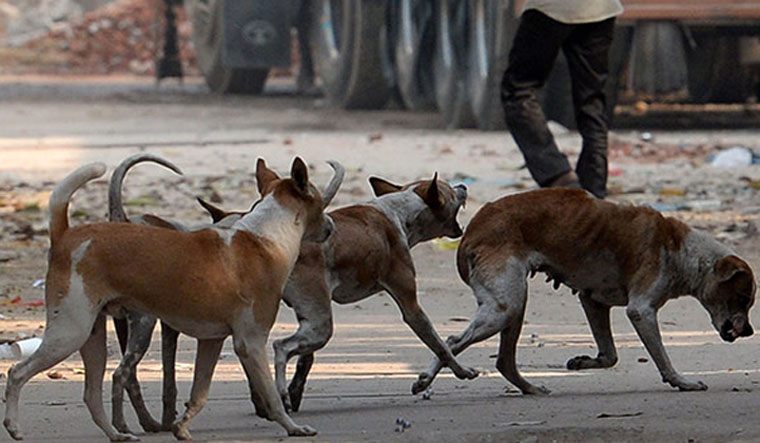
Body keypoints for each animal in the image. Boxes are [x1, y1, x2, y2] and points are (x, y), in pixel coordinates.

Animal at [2, 158, 342, 442]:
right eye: (322, 203)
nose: (332, 227)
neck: (265, 236)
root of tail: (64, 235)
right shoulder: (251, 343)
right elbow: (272, 396)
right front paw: (292, 428)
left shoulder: (212, 341)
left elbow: (200, 393)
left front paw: (181, 427)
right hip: (71, 332)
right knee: (17, 372)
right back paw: (14, 427)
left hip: (92, 337)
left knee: (92, 394)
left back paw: (117, 434)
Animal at [412, 189, 756, 398]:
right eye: (742, 298)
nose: (750, 332)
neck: (682, 251)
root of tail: (472, 230)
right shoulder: (641, 310)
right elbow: (661, 357)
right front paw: (681, 381)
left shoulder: (593, 301)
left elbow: (610, 355)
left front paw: (584, 362)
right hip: (503, 306)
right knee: (453, 341)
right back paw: (428, 378)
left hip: (513, 305)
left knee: (505, 362)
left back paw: (530, 388)